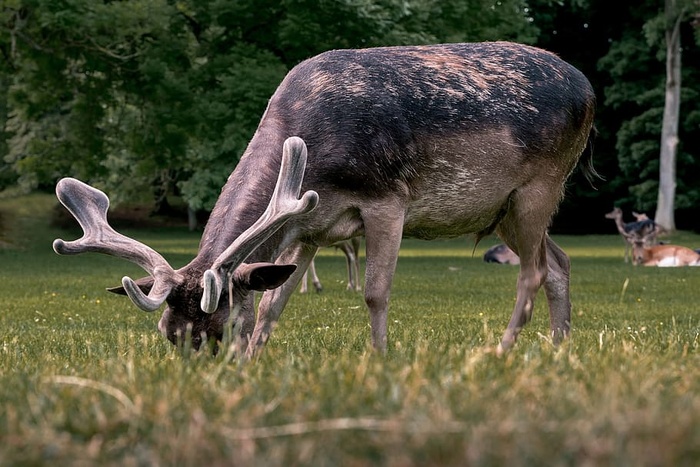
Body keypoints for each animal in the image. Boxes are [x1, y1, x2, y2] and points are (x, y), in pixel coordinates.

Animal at [53, 43, 596, 358]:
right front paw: (257, 364)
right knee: (561, 262)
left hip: (540, 185)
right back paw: (560, 350)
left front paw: (380, 361)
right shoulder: (308, 228)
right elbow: (272, 302)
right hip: (501, 209)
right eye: (169, 334)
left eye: (220, 329)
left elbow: (375, 292)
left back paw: (500, 352)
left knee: (534, 271)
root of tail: (588, 88)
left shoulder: (387, 199)